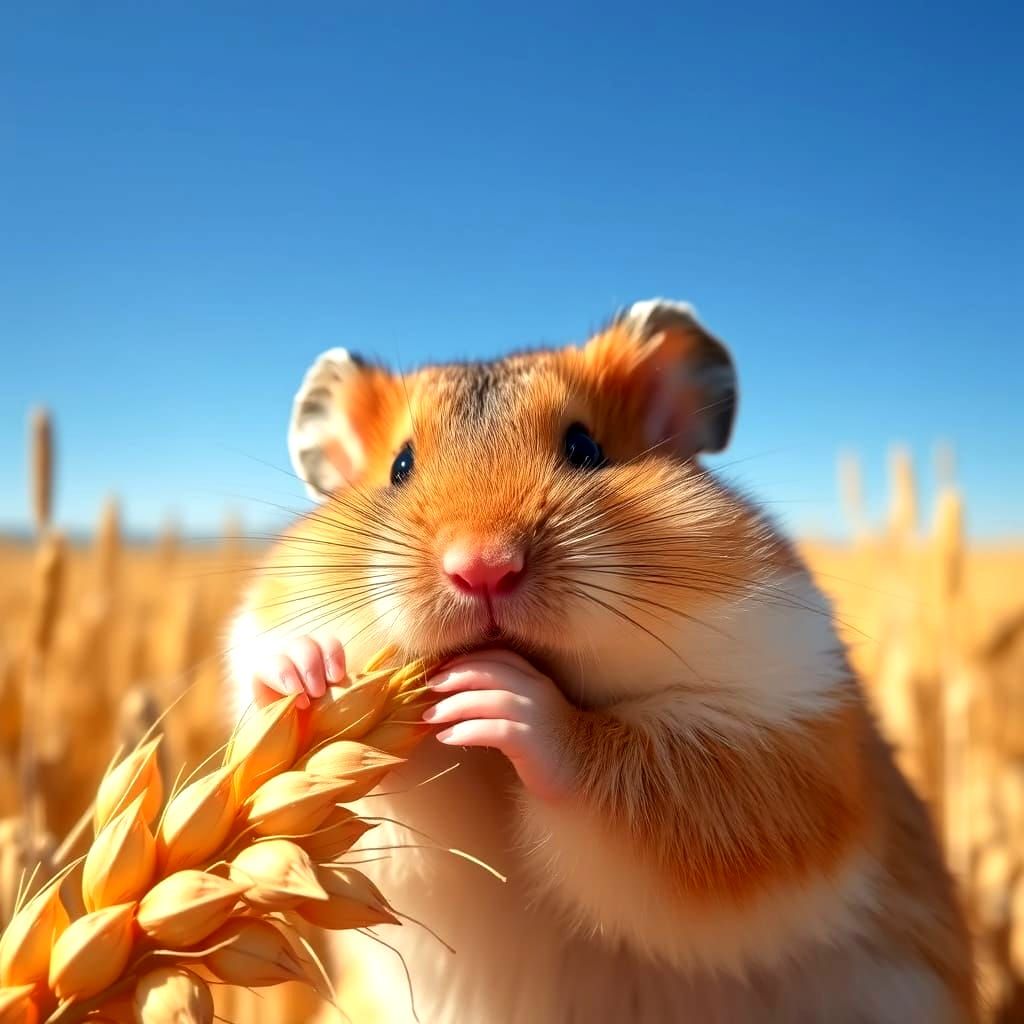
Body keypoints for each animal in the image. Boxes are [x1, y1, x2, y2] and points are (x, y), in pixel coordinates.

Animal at [227, 300, 975, 1023]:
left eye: (584, 448)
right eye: (400, 467)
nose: (483, 568)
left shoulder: (780, 735)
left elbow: (623, 769)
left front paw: (491, 692)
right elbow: (368, 790)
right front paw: (309, 673)